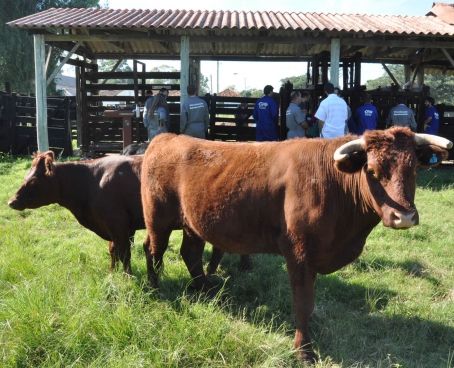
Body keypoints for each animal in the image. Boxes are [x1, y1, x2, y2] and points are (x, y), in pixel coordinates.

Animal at [140, 127, 452, 362]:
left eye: (414, 168)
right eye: (372, 171)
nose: (405, 216)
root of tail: (166, 137)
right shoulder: (300, 254)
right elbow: (303, 303)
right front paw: (303, 350)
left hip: (192, 224)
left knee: (190, 254)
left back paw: (206, 291)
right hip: (158, 219)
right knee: (153, 249)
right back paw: (156, 289)